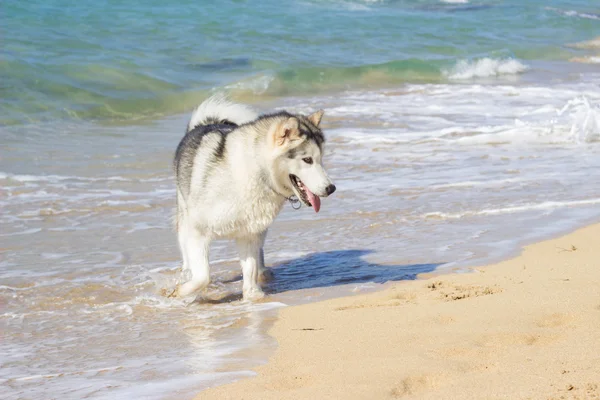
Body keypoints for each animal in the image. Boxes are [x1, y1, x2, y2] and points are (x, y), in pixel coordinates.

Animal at [172, 95, 338, 298]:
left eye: (320, 159)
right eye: (307, 160)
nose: (331, 188)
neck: (255, 171)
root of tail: (206, 123)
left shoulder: (250, 232)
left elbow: (250, 266)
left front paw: (253, 295)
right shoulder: (197, 230)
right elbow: (203, 276)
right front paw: (181, 291)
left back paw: (263, 272)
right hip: (184, 217)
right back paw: (186, 274)